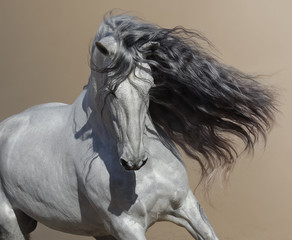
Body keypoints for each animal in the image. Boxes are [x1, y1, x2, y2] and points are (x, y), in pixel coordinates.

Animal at [0, 13, 278, 240]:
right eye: (111, 91)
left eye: (149, 85)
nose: (133, 161)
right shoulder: (127, 227)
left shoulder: (186, 206)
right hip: (11, 222)